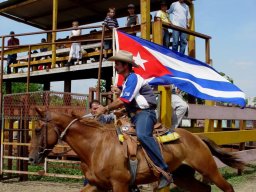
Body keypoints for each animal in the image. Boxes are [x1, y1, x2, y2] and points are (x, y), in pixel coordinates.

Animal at [29, 107, 245, 191]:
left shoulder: (120, 185)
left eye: (38, 129)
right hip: (183, 176)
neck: (96, 146)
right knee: (204, 188)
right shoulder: (98, 185)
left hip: (208, 168)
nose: (31, 159)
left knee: (227, 187)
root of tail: (197, 137)